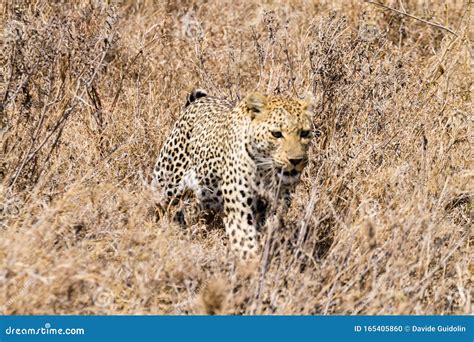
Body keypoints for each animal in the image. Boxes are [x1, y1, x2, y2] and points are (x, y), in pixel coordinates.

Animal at [153, 88, 314, 260]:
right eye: (276, 134)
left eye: (304, 133)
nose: (296, 160)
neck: (266, 171)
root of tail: (198, 101)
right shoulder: (239, 209)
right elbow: (246, 242)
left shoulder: (277, 206)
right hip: (167, 182)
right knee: (157, 201)